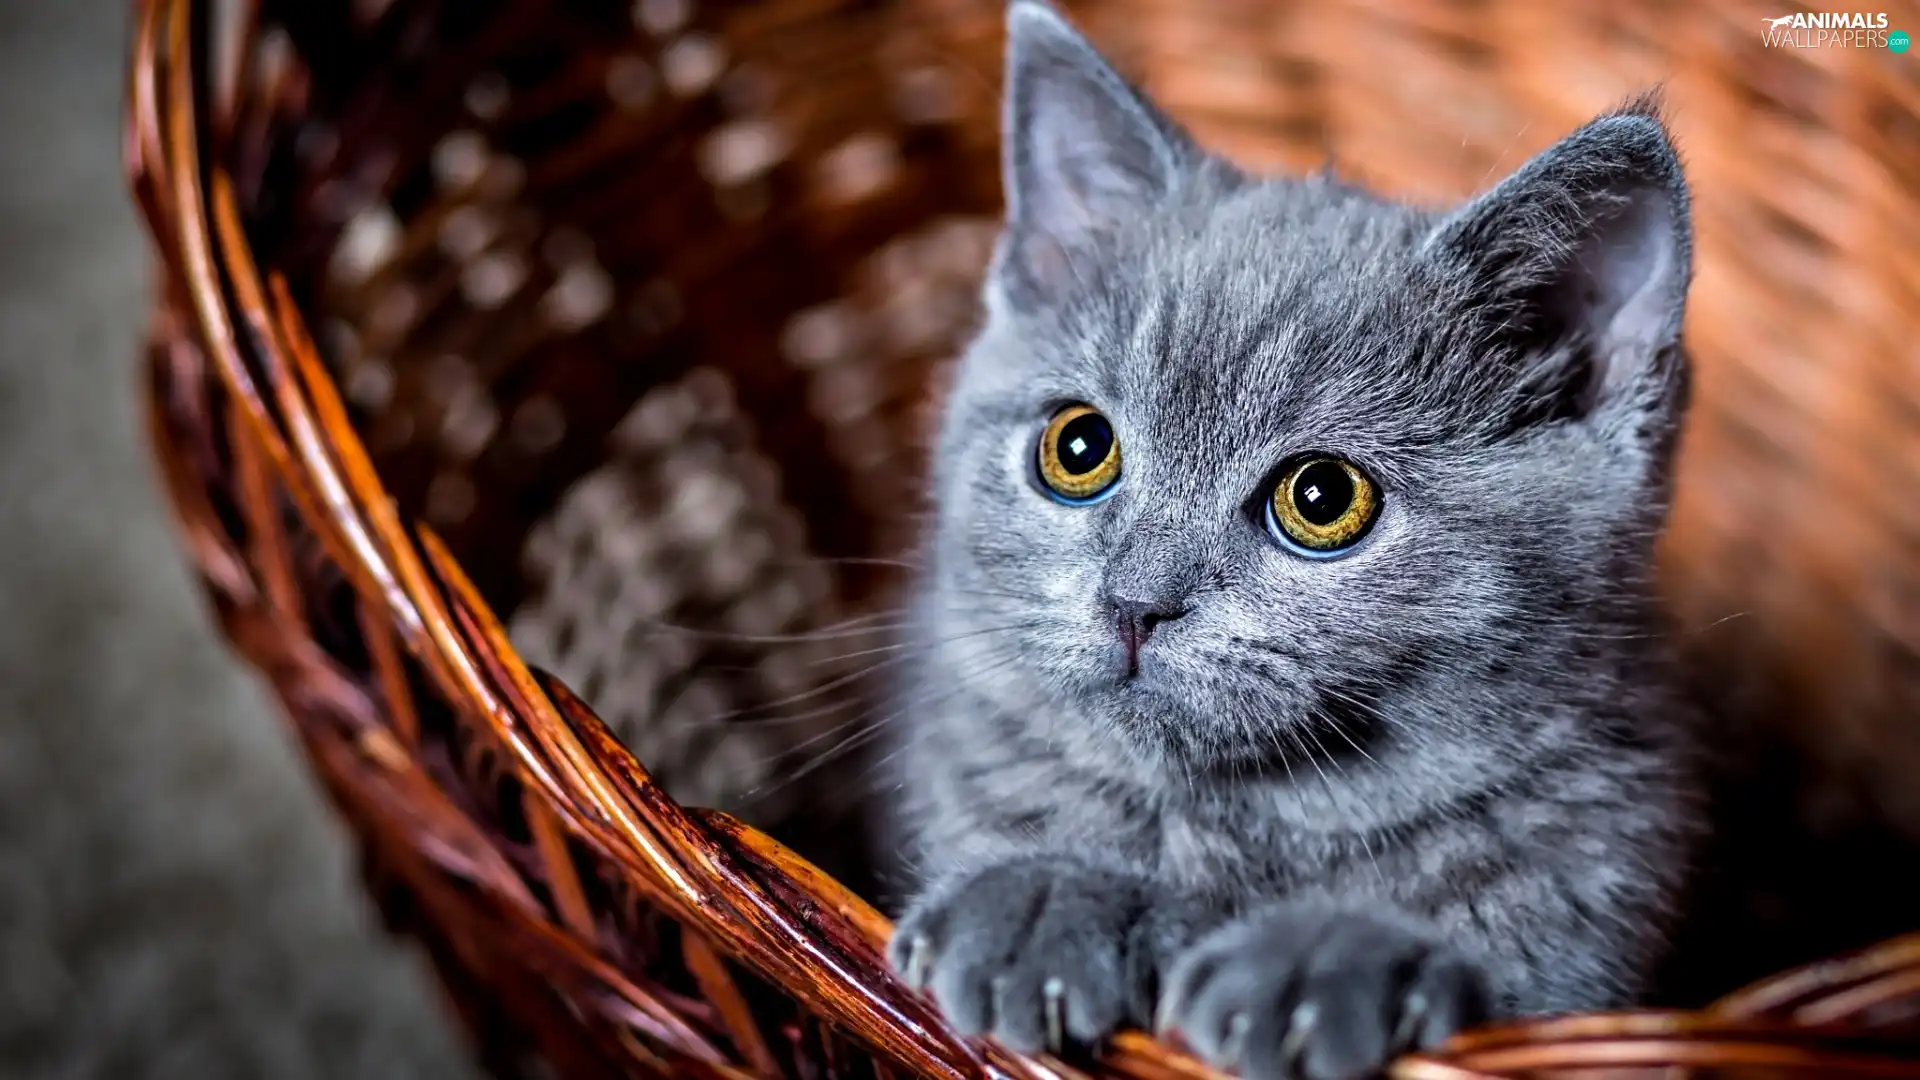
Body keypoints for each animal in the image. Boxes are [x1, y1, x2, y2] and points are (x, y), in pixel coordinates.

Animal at [879, 2, 1704, 1076]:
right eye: (1078, 447)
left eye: (1321, 497)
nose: (1136, 600)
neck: (1251, 824)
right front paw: (1043, 896)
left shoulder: (1597, 913)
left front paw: (1327, 960)